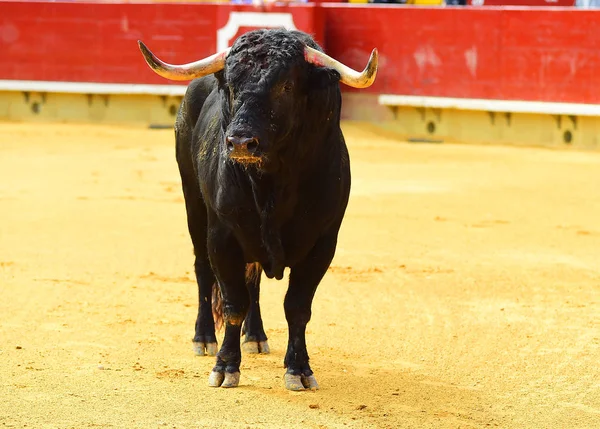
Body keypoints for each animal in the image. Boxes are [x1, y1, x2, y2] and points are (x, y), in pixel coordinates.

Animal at [138, 28, 378, 390]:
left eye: (287, 86)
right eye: (231, 85)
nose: (239, 142)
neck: (273, 183)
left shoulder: (323, 243)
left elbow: (297, 307)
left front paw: (299, 369)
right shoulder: (222, 237)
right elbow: (233, 301)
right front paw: (225, 367)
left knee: (253, 282)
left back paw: (255, 336)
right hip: (193, 206)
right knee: (203, 271)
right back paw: (204, 338)